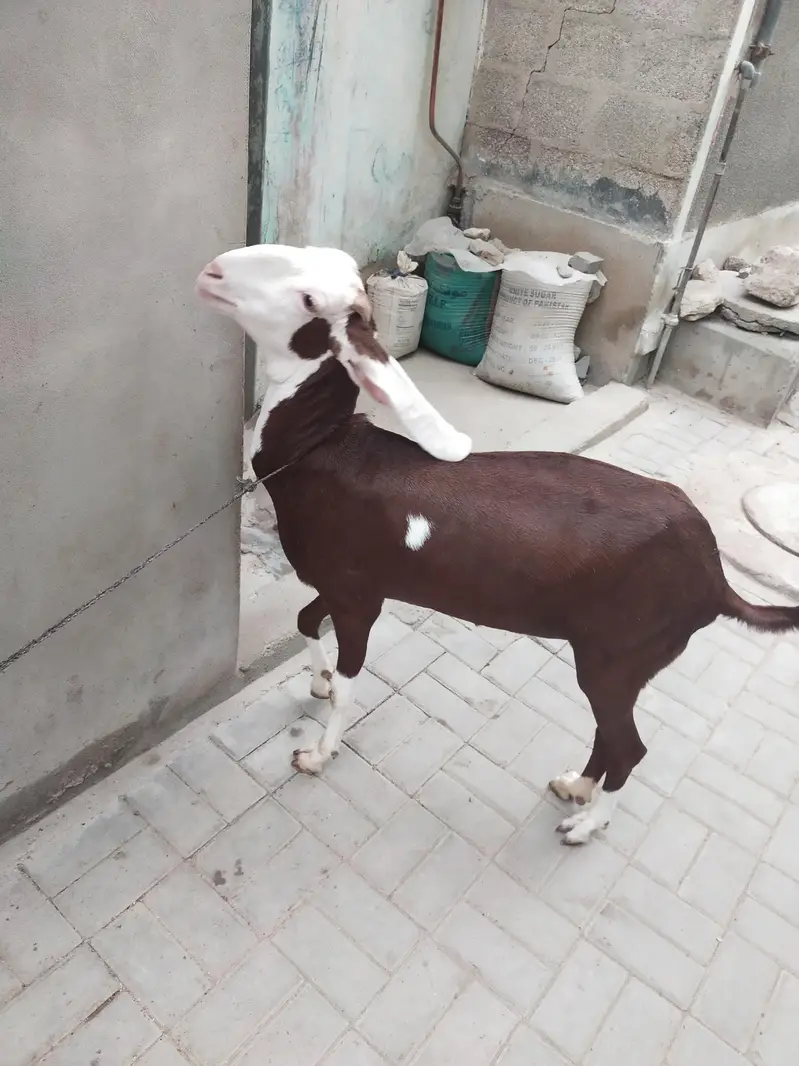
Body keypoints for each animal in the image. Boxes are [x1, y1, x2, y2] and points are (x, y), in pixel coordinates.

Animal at [196, 244, 799, 845]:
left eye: (308, 300)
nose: (212, 272)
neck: (322, 451)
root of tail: (715, 577)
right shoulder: (352, 583)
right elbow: (304, 621)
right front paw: (319, 681)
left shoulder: (357, 598)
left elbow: (348, 684)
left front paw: (318, 754)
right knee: (610, 734)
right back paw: (577, 787)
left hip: (620, 655)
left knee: (629, 745)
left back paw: (585, 823)